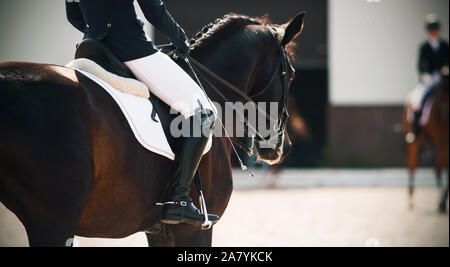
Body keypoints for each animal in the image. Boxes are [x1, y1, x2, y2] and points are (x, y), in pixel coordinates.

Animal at [404, 68, 450, 214]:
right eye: (443, 94)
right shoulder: (442, 142)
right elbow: (439, 169)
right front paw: (441, 203)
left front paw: (442, 202)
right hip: (414, 141)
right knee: (412, 164)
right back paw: (411, 199)